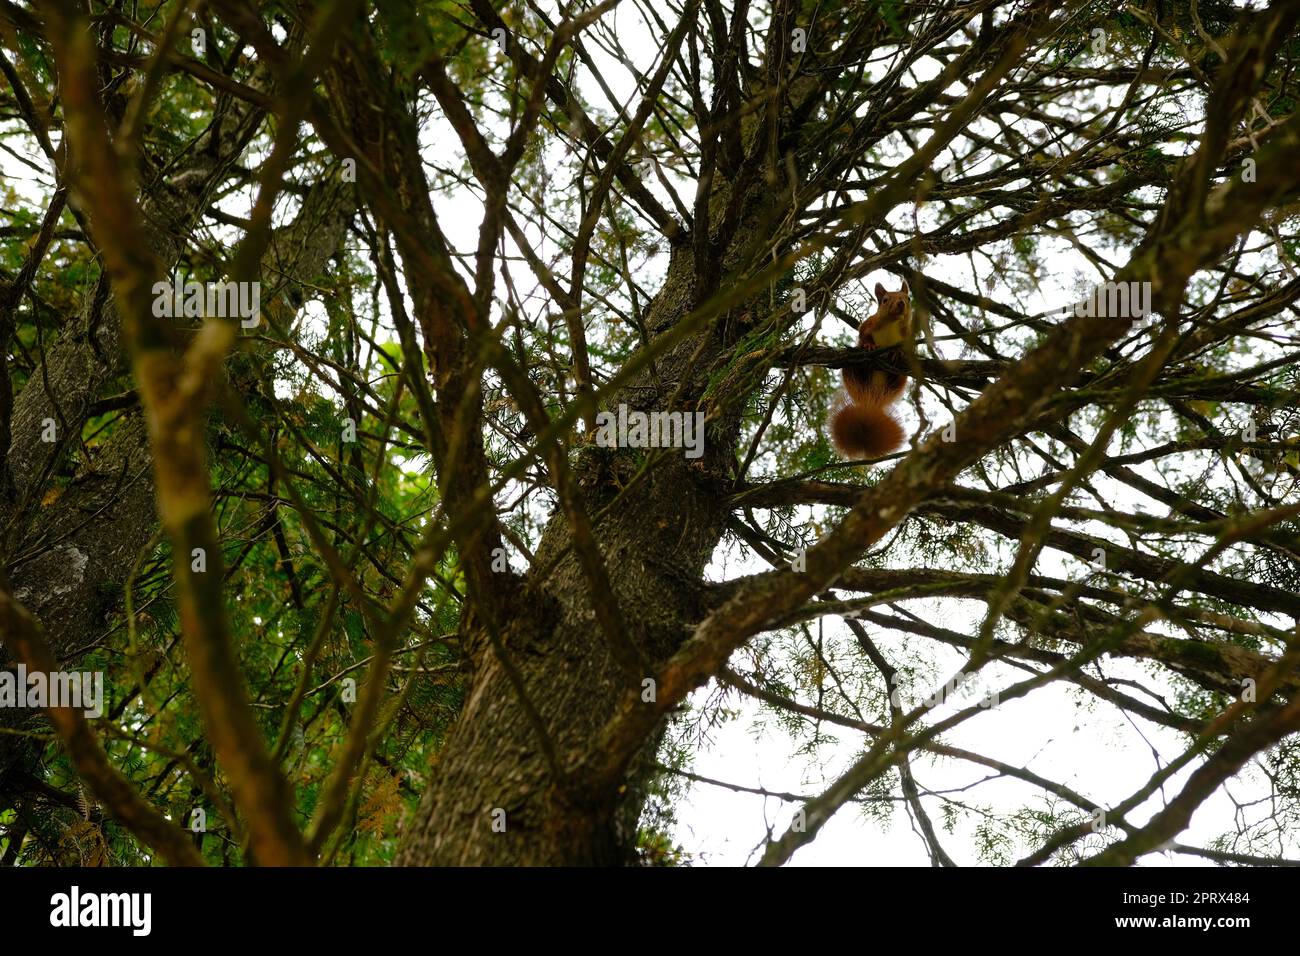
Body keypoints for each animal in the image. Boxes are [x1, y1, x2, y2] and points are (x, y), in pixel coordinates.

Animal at [828, 281, 913, 460]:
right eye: (885, 300)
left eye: (908, 298)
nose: (901, 304)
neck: (892, 325)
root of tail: (872, 398)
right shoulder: (868, 324)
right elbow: (863, 336)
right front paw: (868, 345)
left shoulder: (908, 336)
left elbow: (906, 349)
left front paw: (897, 352)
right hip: (850, 371)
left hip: (901, 379)